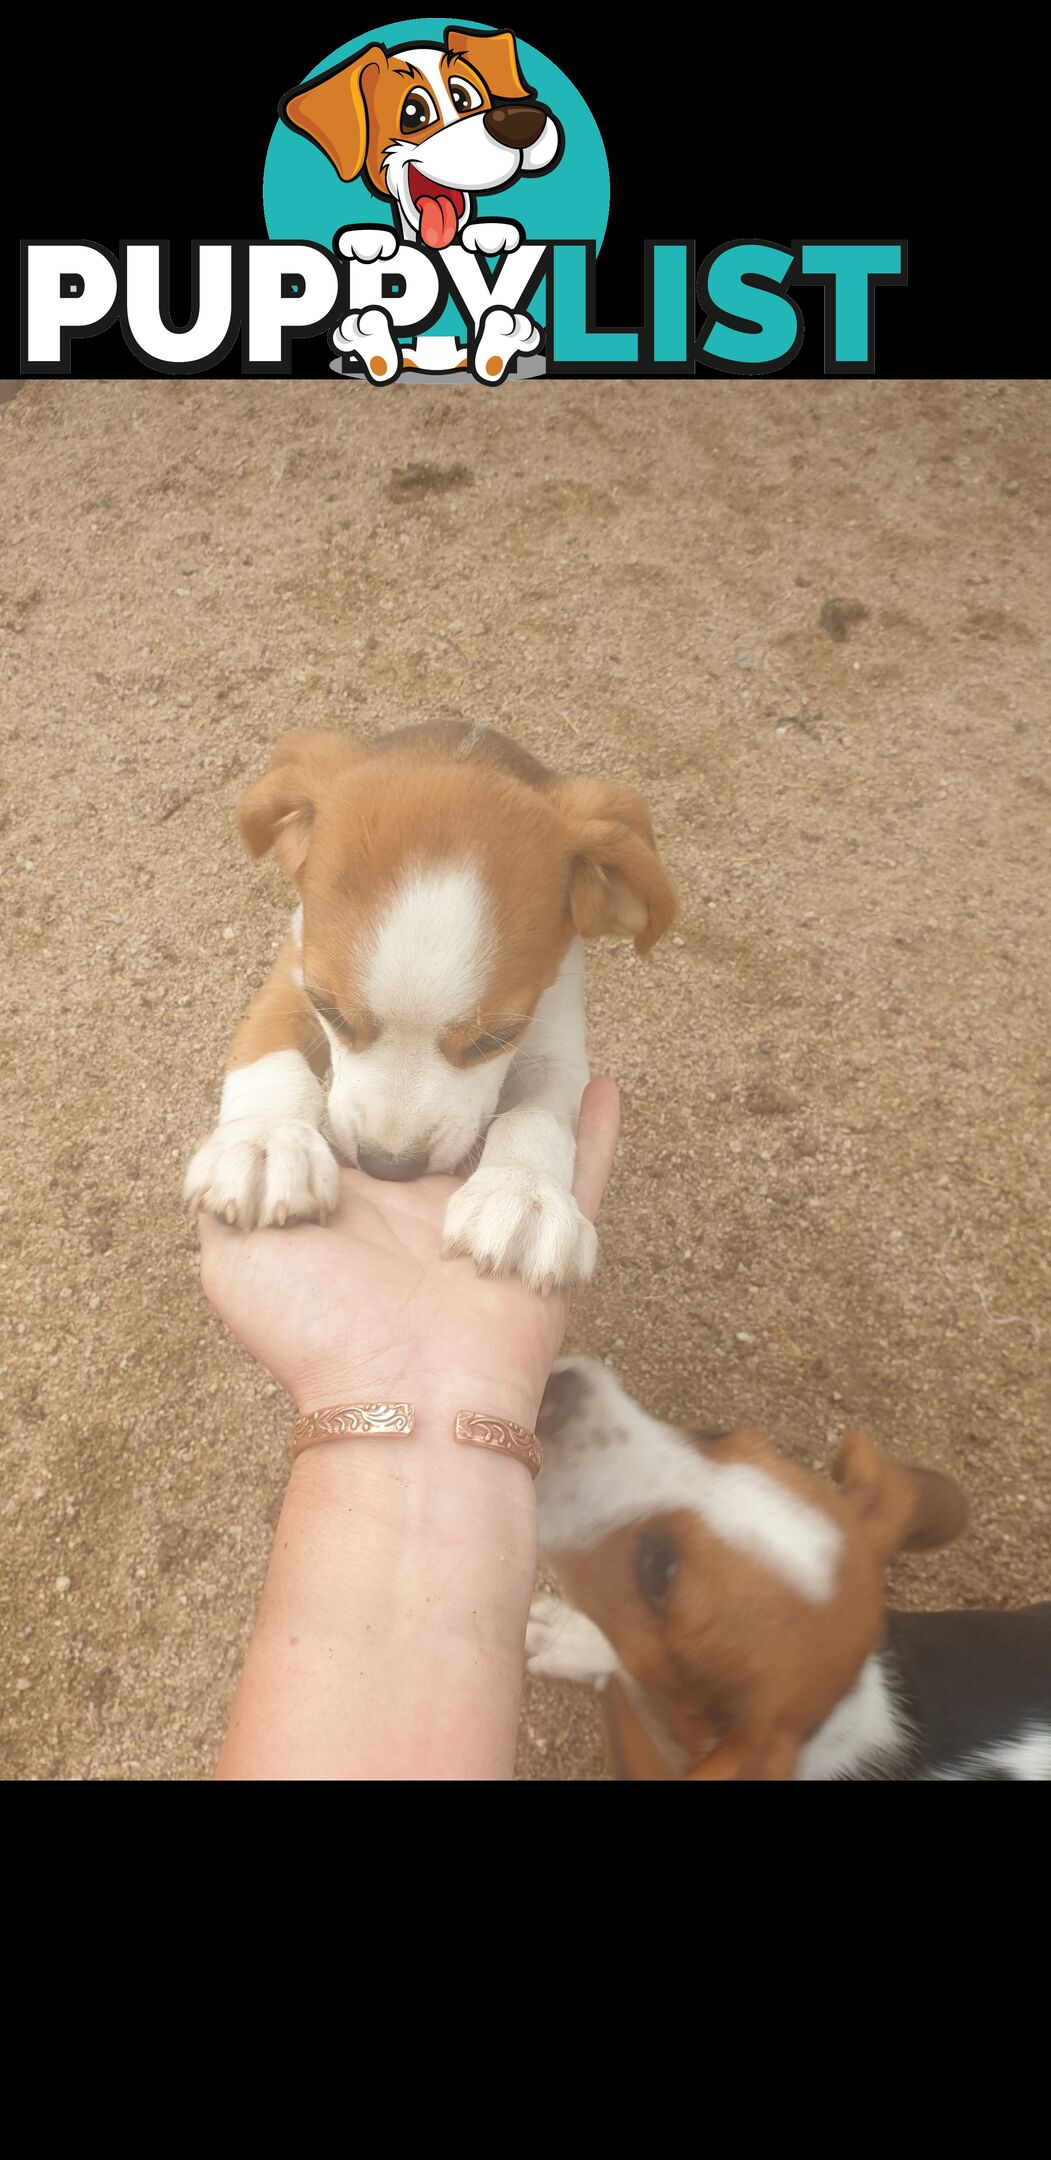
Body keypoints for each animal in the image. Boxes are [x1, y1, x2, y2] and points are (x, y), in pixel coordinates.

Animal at [183, 725, 673, 1296]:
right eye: (332, 1014)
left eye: (492, 1040)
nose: (388, 1167)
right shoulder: (292, 980)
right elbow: (272, 1056)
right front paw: (264, 1139)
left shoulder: (555, 1041)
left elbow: (536, 1117)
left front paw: (524, 1193)